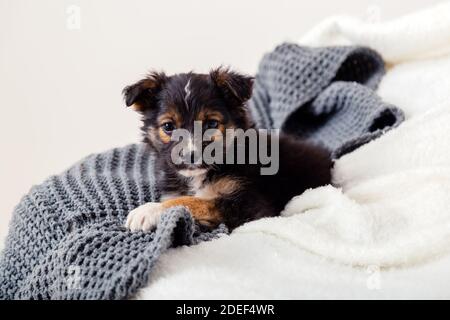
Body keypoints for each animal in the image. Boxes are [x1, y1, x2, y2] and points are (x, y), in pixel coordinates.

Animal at [123, 69, 330, 231]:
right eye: (168, 126)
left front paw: (149, 210)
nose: (190, 156)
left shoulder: (250, 205)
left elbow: (194, 201)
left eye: (212, 124)